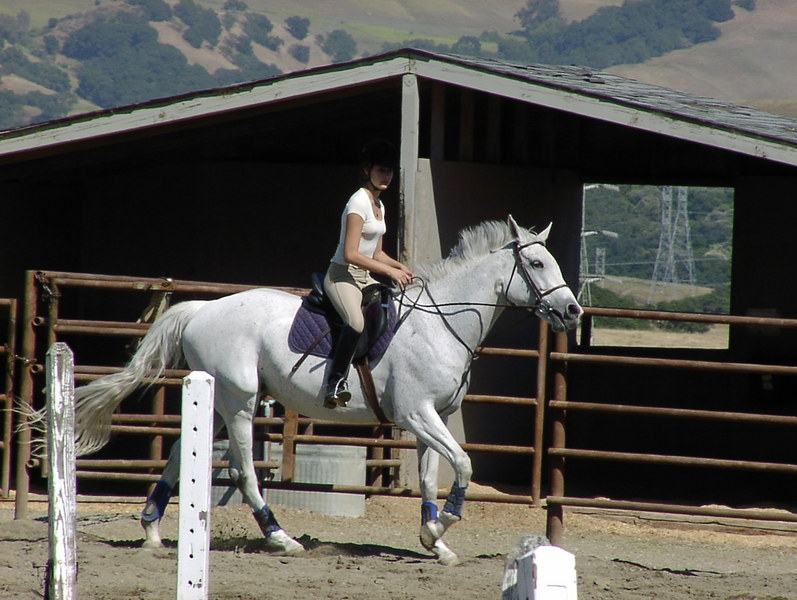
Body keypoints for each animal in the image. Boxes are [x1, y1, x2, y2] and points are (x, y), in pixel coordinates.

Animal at [68, 216, 582, 565]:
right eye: (536, 263)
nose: (573, 311)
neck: (442, 322)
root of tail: (202, 310)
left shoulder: (430, 417)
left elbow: (432, 477)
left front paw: (434, 541)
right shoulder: (415, 414)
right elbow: (464, 464)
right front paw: (441, 527)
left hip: (214, 402)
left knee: (180, 453)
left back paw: (153, 532)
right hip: (240, 402)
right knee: (243, 471)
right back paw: (281, 537)